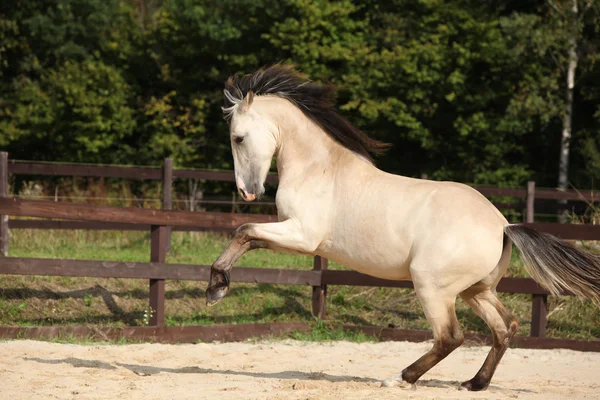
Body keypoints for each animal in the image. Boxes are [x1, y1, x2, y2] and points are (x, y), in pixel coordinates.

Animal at [205, 65, 600, 390]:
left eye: (238, 137)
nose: (247, 191)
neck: (319, 169)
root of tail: (503, 224)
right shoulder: (294, 235)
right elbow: (248, 238)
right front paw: (218, 286)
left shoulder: (303, 236)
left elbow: (244, 230)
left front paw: (215, 287)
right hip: (476, 290)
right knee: (505, 328)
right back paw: (474, 383)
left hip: (431, 285)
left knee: (450, 337)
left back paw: (400, 378)